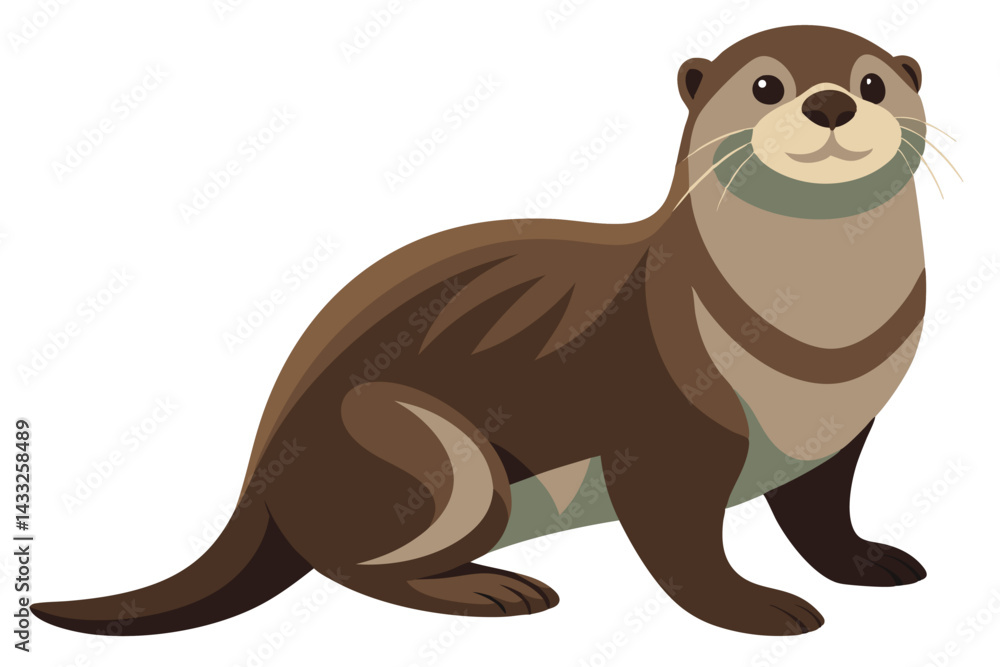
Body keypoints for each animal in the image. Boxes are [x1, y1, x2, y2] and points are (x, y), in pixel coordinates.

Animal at [33, 25, 949, 637]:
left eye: (874, 84)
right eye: (765, 86)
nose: (829, 103)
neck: (817, 341)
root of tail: (261, 467)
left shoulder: (841, 432)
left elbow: (823, 514)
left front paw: (871, 564)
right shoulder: (665, 425)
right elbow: (680, 543)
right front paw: (756, 608)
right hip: (423, 445)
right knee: (348, 562)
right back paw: (493, 590)